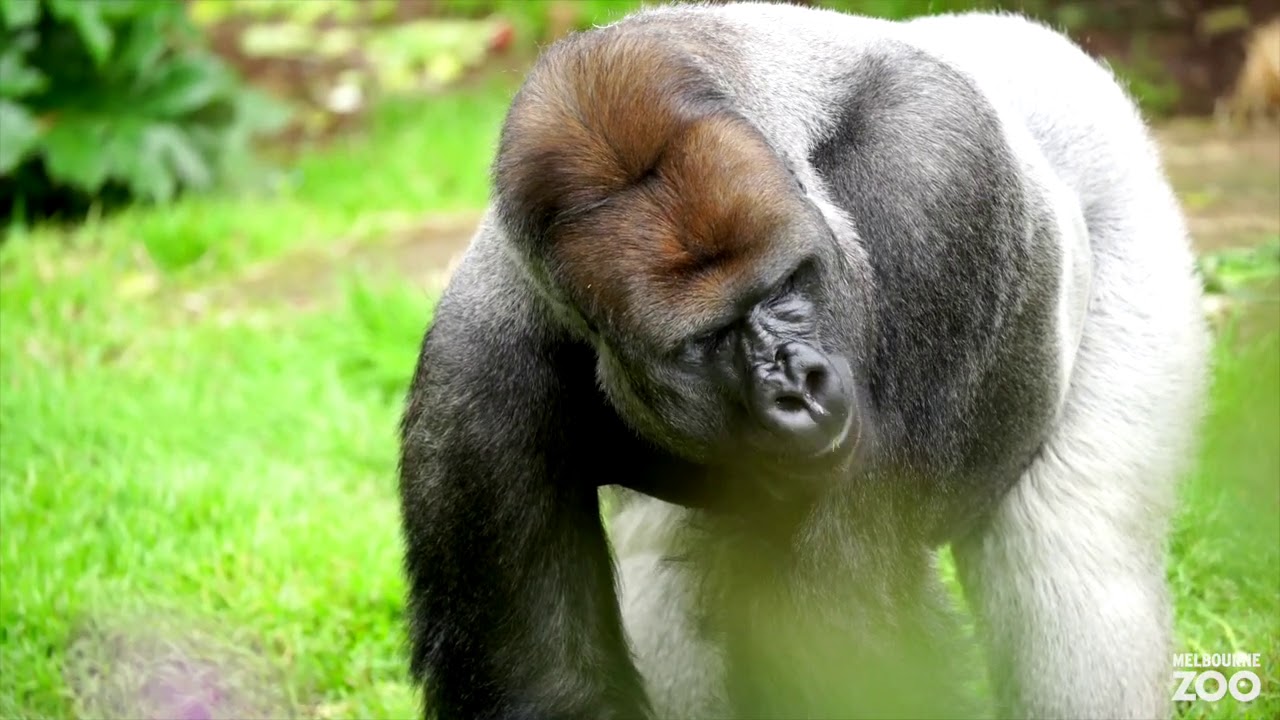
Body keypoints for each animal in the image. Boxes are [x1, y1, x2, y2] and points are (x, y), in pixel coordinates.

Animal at [397, 3, 1210, 719]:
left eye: (786, 285)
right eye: (704, 340)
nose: (799, 385)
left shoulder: (935, 178)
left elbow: (849, 609)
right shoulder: (475, 376)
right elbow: (542, 682)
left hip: (1109, 158)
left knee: (1076, 550)